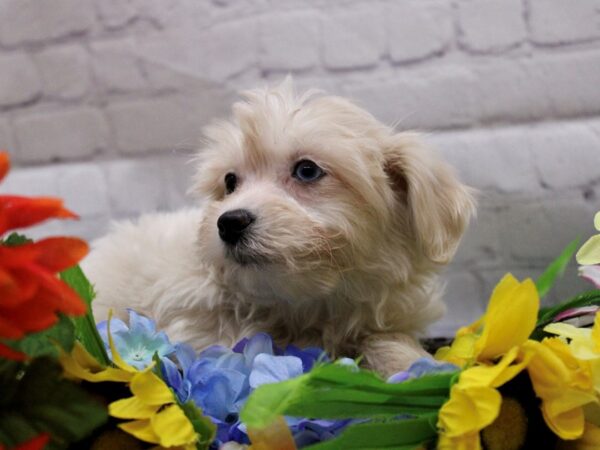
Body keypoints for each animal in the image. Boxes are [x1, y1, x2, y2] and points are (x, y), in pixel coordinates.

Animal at [84, 78, 476, 376]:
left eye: (307, 170)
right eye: (230, 182)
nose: (228, 222)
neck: (309, 305)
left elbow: (385, 339)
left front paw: (413, 364)